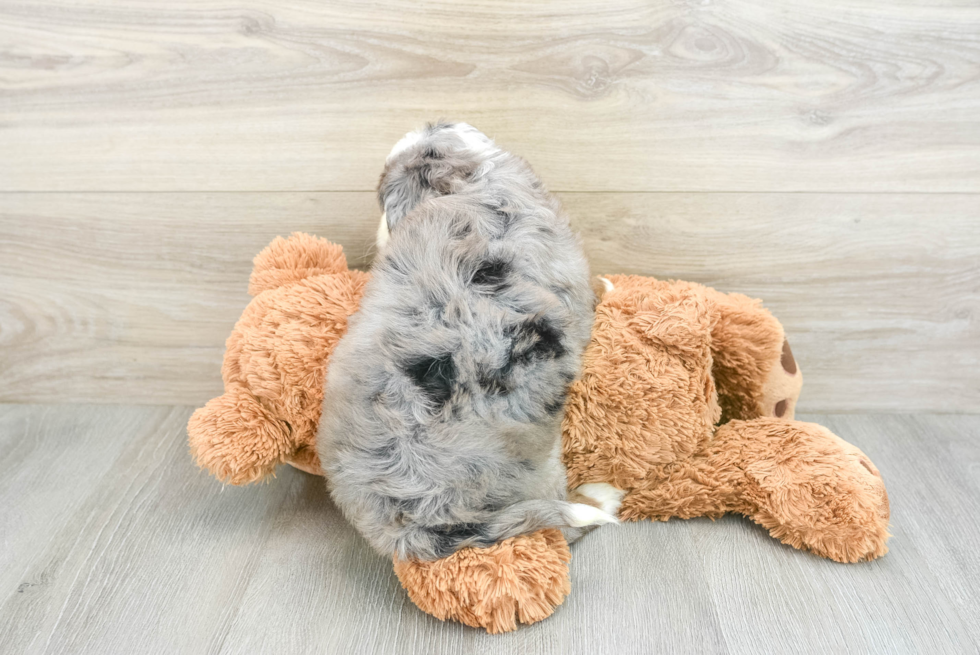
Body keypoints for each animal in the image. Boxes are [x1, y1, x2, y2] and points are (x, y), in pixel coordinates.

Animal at [318, 121, 620, 560]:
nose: (427, 123)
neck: (465, 187)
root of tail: (403, 527)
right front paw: (608, 288)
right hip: (538, 469)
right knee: (559, 529)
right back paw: (601, 497)